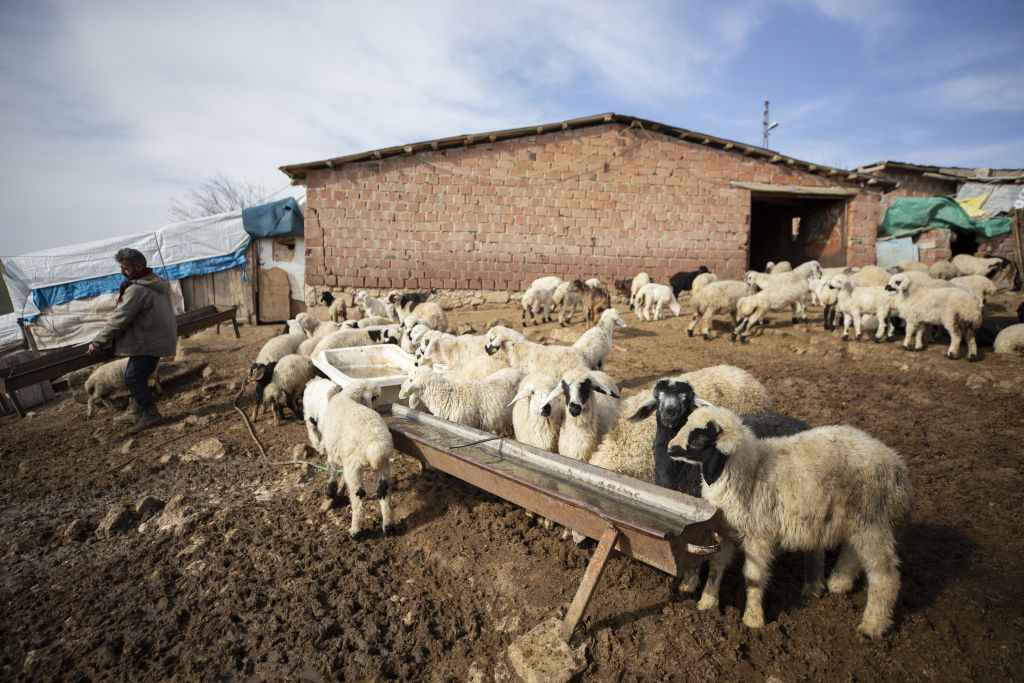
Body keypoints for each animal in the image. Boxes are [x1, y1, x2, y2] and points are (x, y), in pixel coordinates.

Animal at [319, 378, 395, 540]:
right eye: (374, 397)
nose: (376, 408)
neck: (347, 396)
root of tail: (375, 444)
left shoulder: (331, 448)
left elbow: (331, 467)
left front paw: (330, 490)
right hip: (383, 466)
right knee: (383, 493)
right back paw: (388, 526)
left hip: (353, 467)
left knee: (358, 497)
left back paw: (355, 531)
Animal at [671, 403, 913, 638]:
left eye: (700, 440)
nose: (670, 448)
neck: (751, 471)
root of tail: (895, 462)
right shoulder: (725, 531)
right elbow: (715, 566)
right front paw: (707, 604)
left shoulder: (759, 536)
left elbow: (752, 578)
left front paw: (753, 619)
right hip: (856, 520)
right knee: (852, 551)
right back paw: (838, 583)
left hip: (873, 519)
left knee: (885, 575)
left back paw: (871, 626)